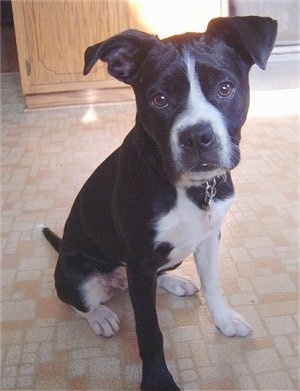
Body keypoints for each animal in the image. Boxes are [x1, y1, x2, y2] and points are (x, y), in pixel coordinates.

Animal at [42, 16, 276, 391]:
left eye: (225, 88)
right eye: (160, 99)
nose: (197, 137)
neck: (190, 190)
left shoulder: (209, 237)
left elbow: (213, 284)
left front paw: (224, 320)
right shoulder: (138, 260)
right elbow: (149, 331)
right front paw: (157, 379)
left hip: (157, 262)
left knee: (160, 271)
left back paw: (174, 282)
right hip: (78, 275)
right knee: (79, 302)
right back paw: (101, 317)